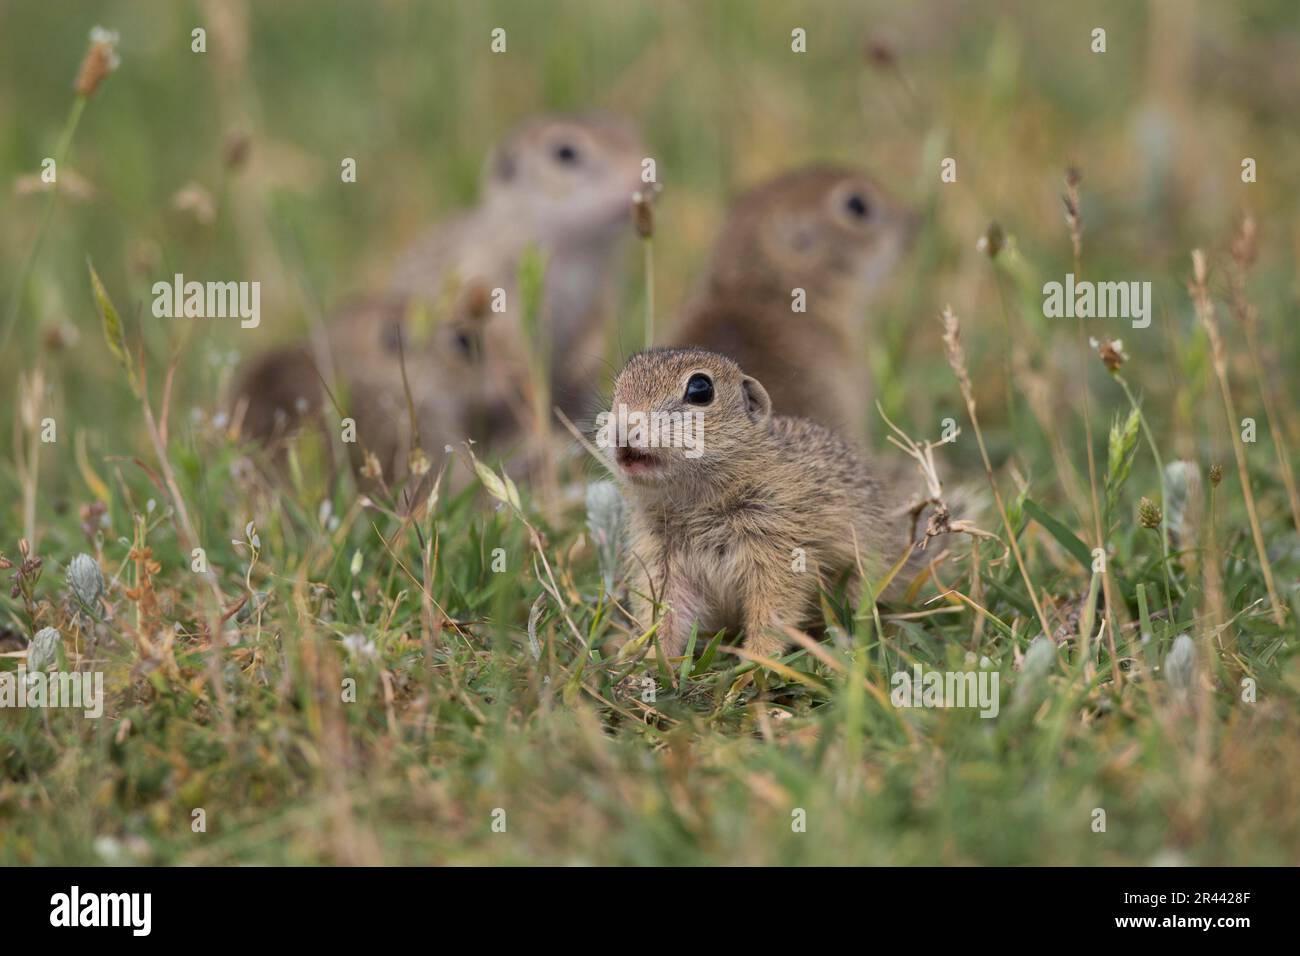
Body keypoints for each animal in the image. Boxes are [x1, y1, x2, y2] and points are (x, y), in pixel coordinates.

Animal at [603, 348, 930, 660]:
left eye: (700, 389)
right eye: (618, 386)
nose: (622, 429)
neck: (694, 501)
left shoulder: (779, 544)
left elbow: (773, 608)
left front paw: (756, 662)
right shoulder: (660, 558)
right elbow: (664, 613)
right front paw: (648, 659)